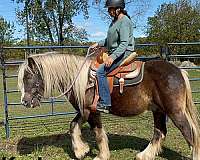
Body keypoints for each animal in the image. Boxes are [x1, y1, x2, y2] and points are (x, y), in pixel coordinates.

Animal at [18, 51, 199, 160]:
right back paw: (144, 155)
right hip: (159, 110)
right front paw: (84, 151)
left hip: (175, 111)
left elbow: (93, 132)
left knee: (189, 133)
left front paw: (93, 154)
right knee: (159, 132)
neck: (82, 80)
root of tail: (178, 71)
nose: (25, 102)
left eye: (28, 77)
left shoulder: (88, 111)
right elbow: (78, 127)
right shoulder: (88, 111)